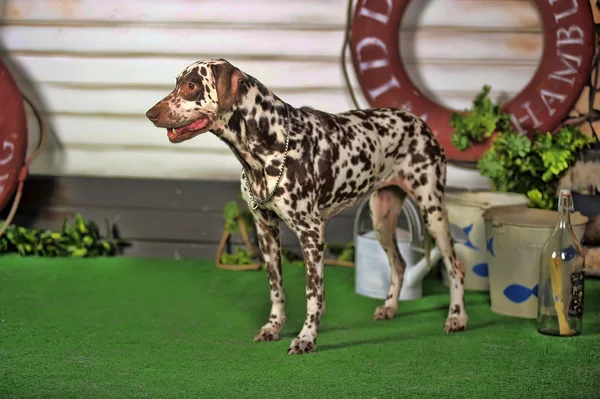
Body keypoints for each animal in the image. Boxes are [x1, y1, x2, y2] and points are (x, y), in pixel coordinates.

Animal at [145, 57, 468, 354]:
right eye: (177, 82)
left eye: (191, 85)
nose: (150, 114)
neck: (269, 143)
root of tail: (420, 123)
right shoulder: (265, 231)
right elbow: (277, 289)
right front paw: (274, 327)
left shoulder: (311, 233)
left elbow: (313, 293)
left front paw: (306, 338)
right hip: (382, 218)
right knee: (399, 265)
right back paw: (389, 308)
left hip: (433, 212)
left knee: (455, 268)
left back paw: (457, 317)